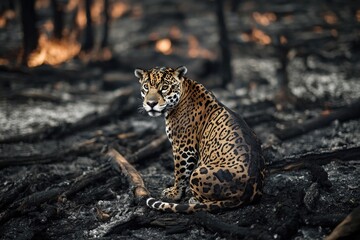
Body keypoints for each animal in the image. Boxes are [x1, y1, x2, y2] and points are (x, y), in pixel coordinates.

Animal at [134, 65, 264, 212]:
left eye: (165, 87)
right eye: (146, 87)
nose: (151, 103)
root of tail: (247, 194)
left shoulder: (183, 148)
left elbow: (180, 173)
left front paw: (174, 194)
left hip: (198, 172)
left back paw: (193, 200)